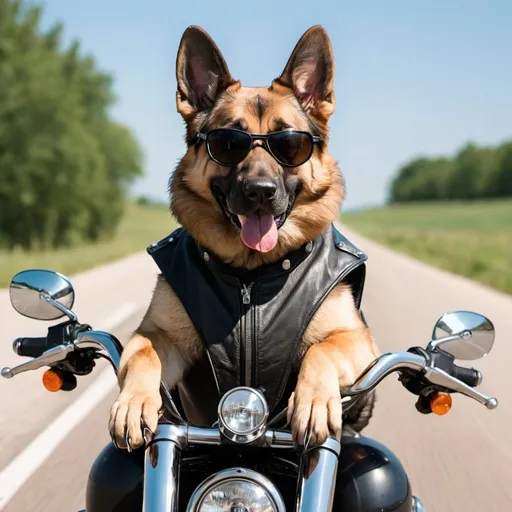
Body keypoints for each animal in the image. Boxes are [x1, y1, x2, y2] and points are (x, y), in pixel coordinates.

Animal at [109, 25, 380, 448]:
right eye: (228, 144)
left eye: (289, 144)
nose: (260, 191)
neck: (251, 273)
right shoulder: (159, 334)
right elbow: (143, 354)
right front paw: (134, 402)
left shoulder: (355, 338)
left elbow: (321, 349)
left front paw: (314, 401)